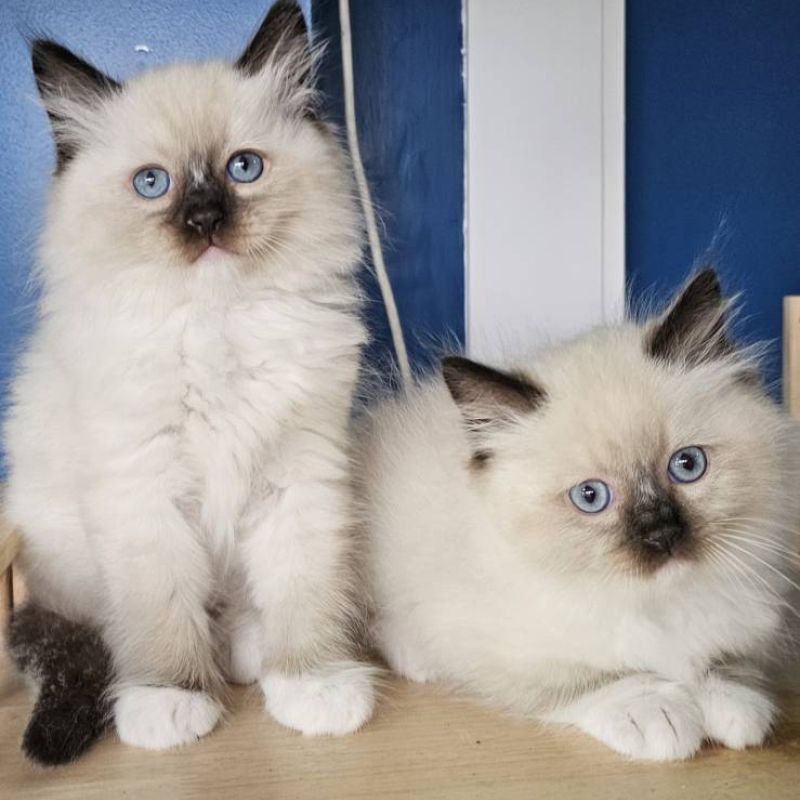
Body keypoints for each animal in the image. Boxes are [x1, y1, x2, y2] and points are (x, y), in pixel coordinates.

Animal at [5, 0, 376, 764]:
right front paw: (170, 701)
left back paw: (247, 651)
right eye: (153, 183)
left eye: (243, 168)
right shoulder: (143, 489)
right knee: (119, 625)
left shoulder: (299, 475)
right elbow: (162, 611)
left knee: (236, 610)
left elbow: (304, 591)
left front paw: (313, 686)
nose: (205, 220)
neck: (216, 324)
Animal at [360, 270, 800, 764]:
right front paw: (661, 717)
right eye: (591, 497)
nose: (660, 533)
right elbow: (603, 680)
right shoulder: (498, 650)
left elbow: (724, 664)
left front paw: (731, 706)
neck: (652, 603)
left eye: (687, 466)